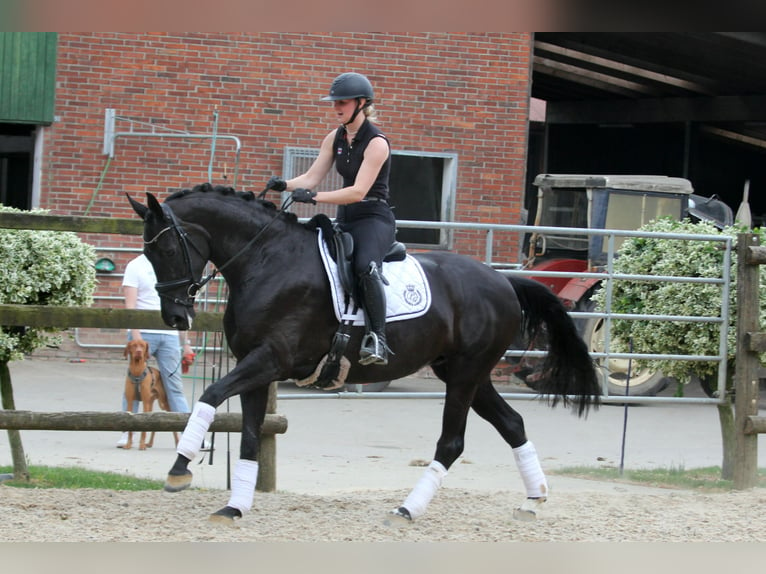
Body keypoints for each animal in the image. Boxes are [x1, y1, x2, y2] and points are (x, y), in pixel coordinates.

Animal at [129, 184, 604, 528]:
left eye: (166, 250)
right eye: (149, 252)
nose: (175, 316)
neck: (268, 259)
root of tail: (505, 282)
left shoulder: (271, 359)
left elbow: (210, 396)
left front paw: (179, 468)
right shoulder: (257, 367)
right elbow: (248, 436)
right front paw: (234, 507)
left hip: (466, 374)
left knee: (452, 442)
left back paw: (408, 509)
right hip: (466, 373)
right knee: (513, 424)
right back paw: (533, 499)